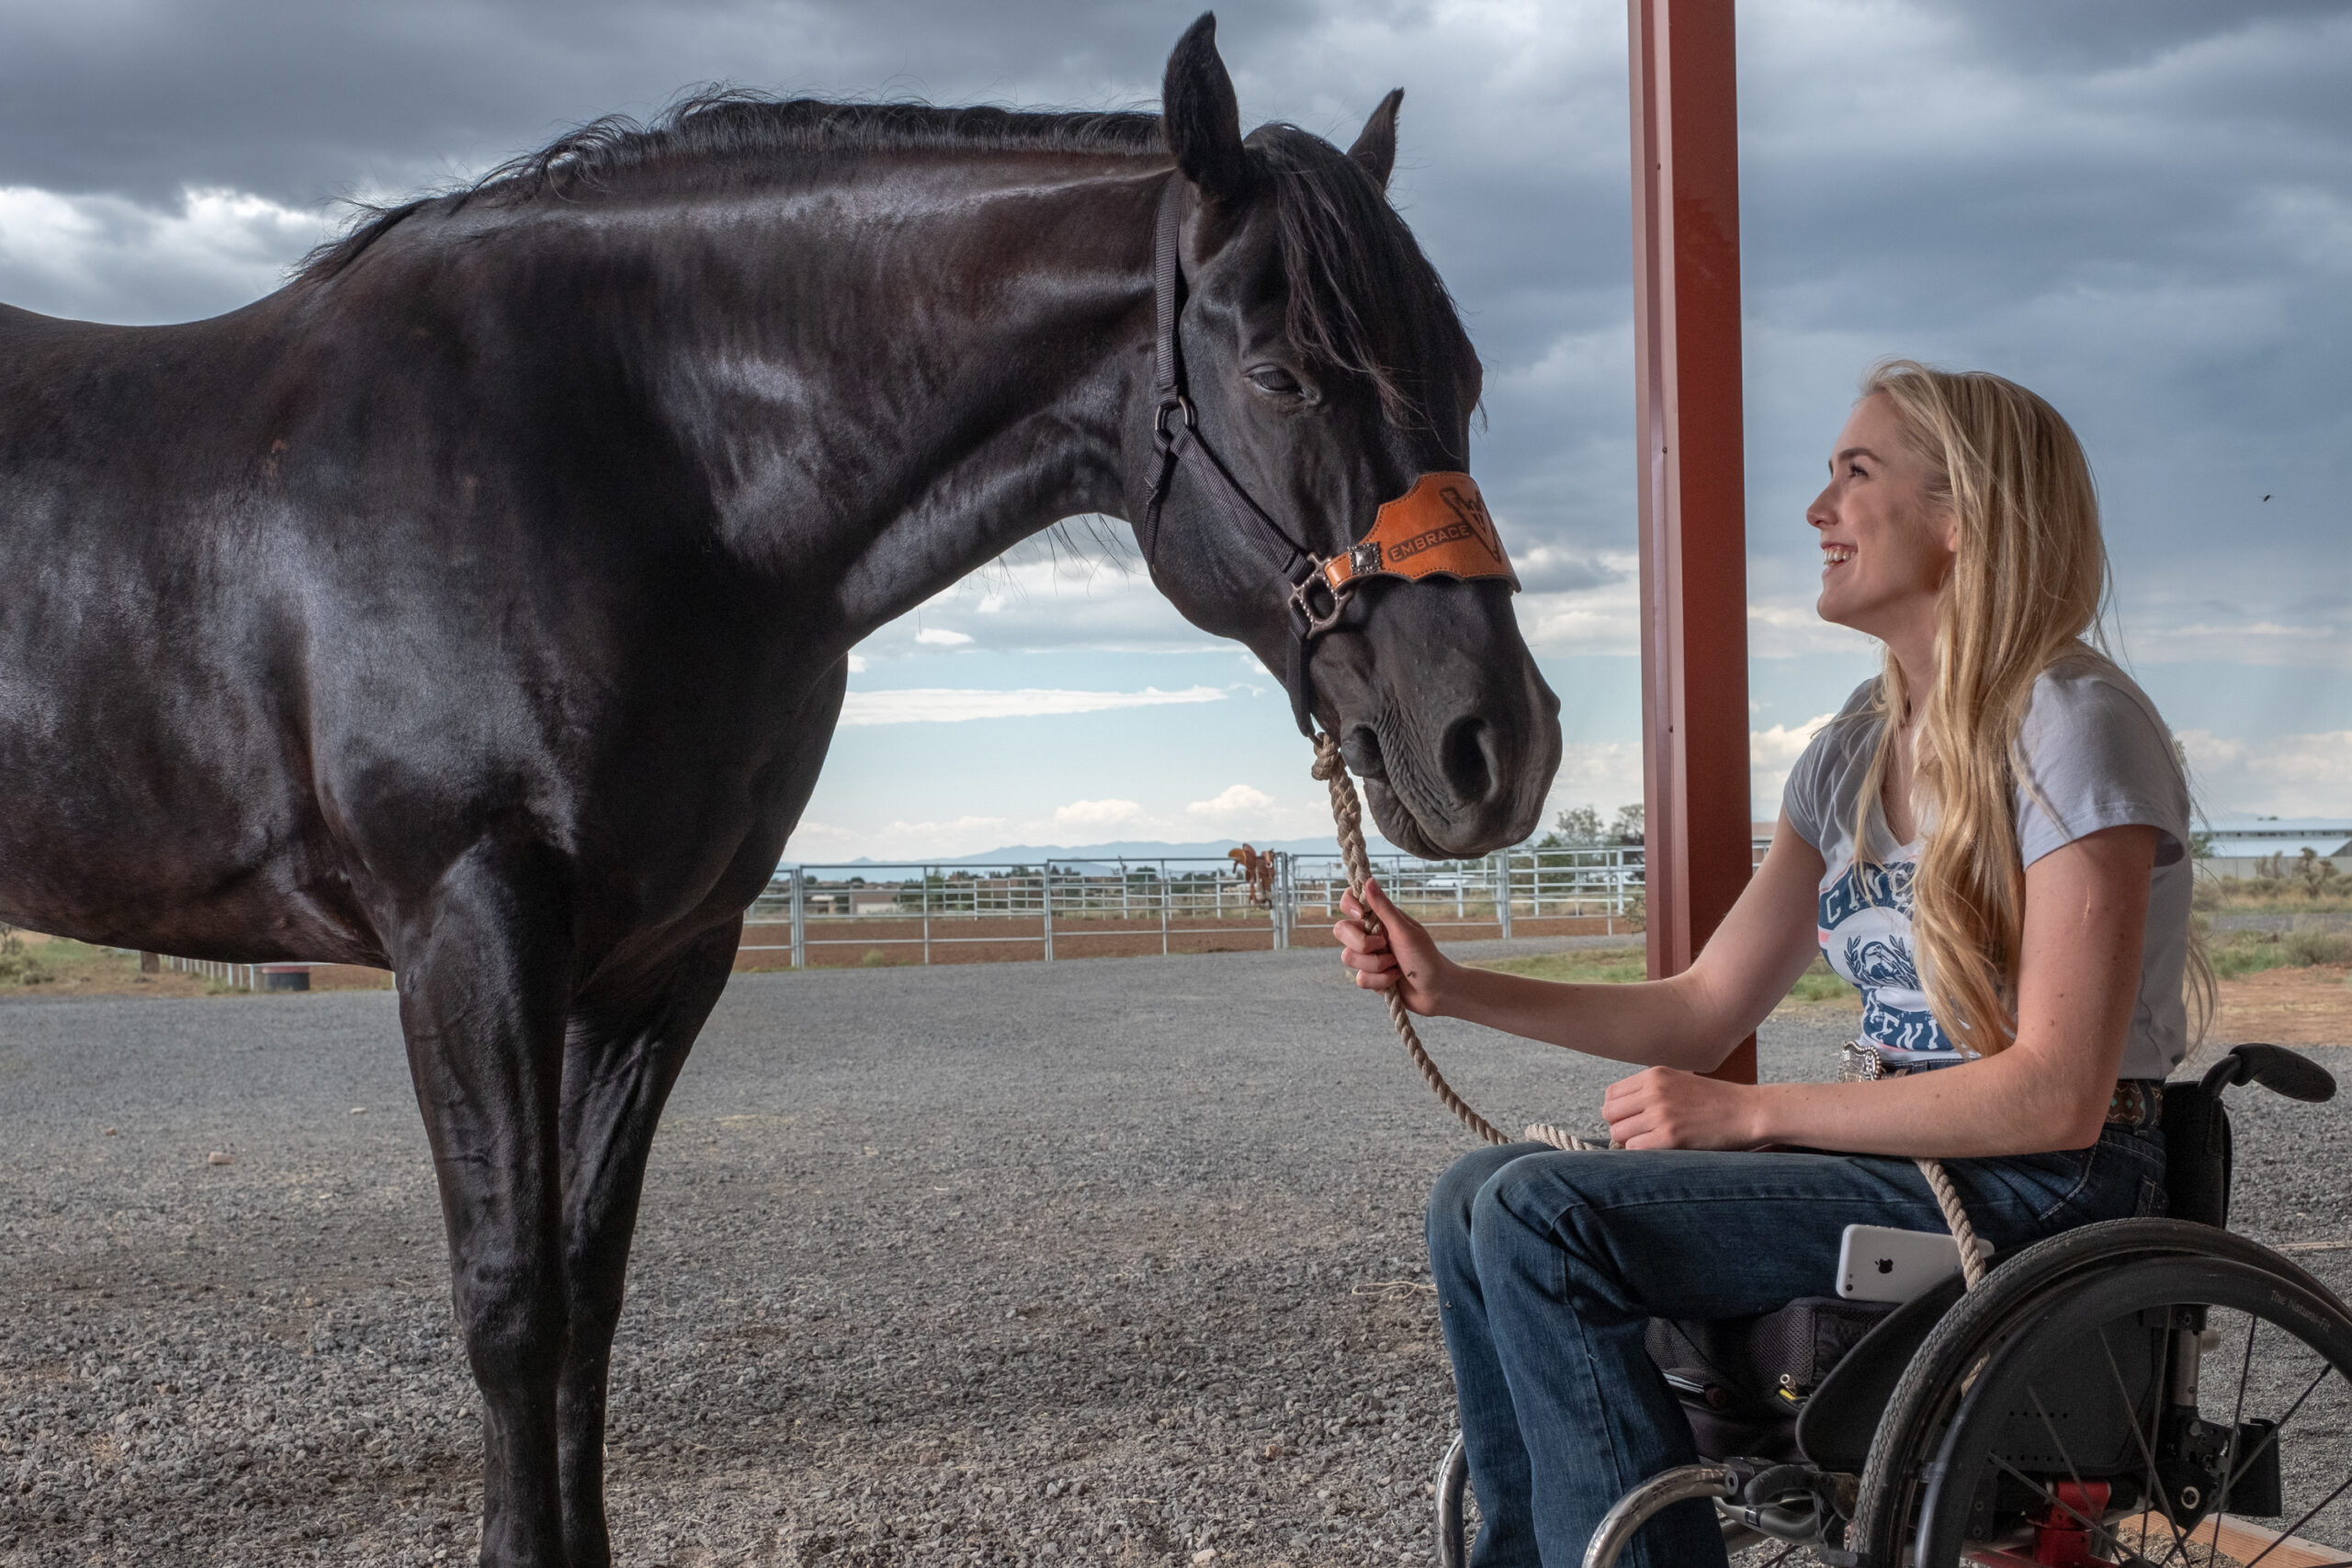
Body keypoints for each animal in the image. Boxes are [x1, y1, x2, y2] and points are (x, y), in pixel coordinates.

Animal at [0, 15, 1561, 1568]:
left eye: (1471, 373)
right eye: (1286, 373)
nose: (1498, 745)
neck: (623, 460)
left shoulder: (661, 957)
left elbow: (591, 1290)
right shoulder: (468, 921)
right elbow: (513, 1302)